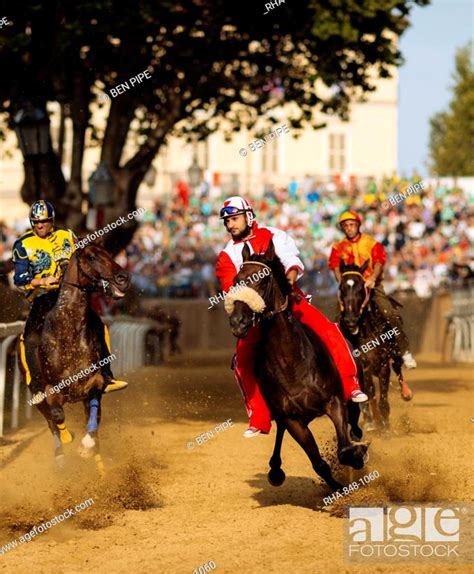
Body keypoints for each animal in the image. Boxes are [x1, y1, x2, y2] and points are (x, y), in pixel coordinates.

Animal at [338, 260, 412, 432]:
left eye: (361, 288)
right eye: (341, 288)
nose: (350, 320)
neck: (365, 332)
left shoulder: (383, 364)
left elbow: (383, 396)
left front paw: (386, 427)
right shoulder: (363, 367)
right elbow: (368, 393)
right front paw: (371, 423)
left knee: (398, 369)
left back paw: (406, 393)